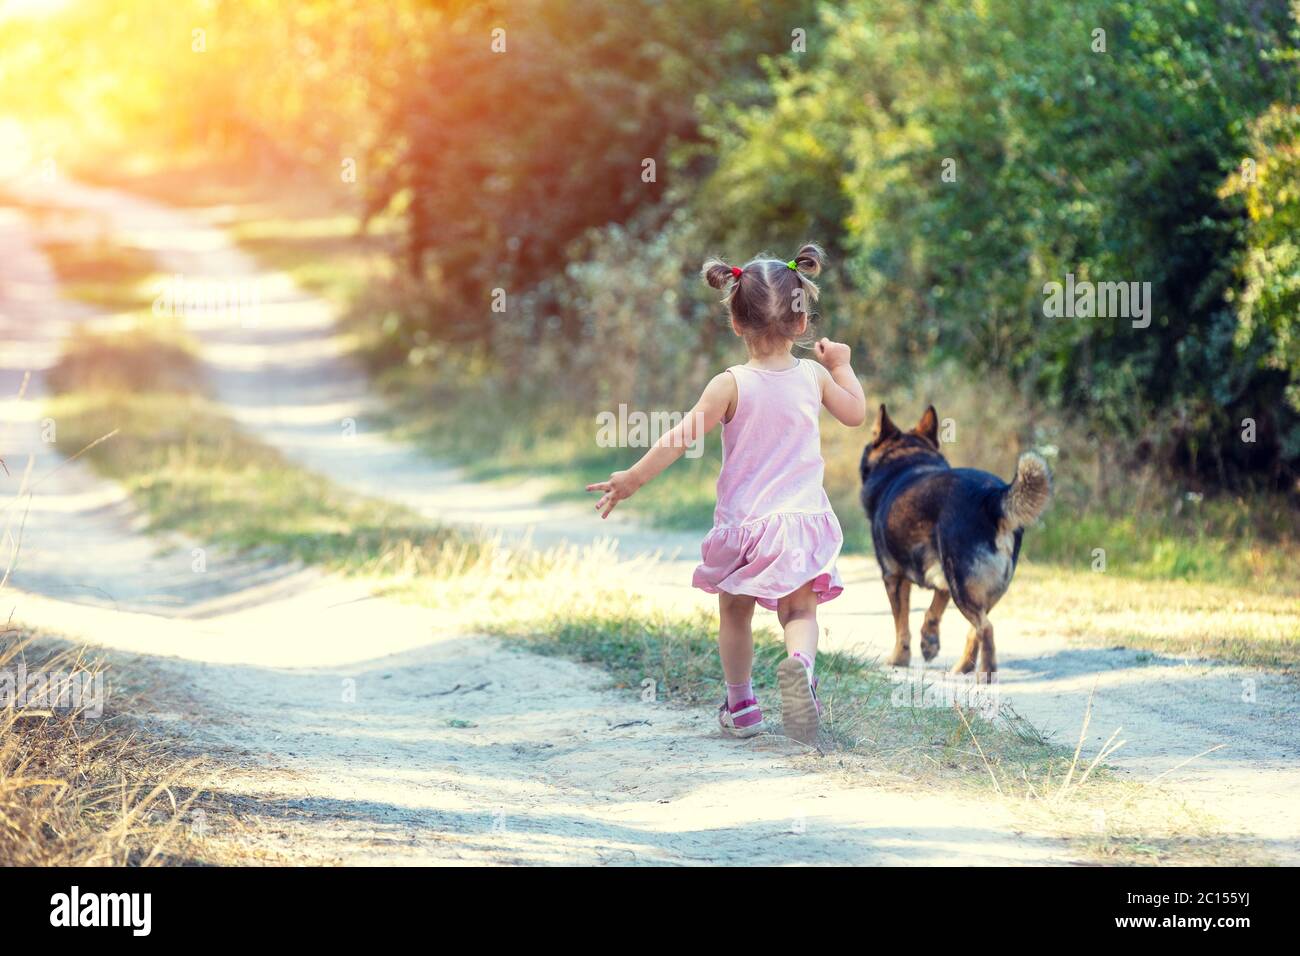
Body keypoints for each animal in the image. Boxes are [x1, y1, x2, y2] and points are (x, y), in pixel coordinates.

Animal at [857, 403, 1050, 671]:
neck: (907, 458)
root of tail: (992, 496)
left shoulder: (893, 577)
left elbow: (901, 624)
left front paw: (899, 658)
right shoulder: (943, 581)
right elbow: (932, 612)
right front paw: (929, 643)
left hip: (962, 586)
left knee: (985, 628)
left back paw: (985, 673)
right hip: (980, 588)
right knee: (975, 629)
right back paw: (963, 667)